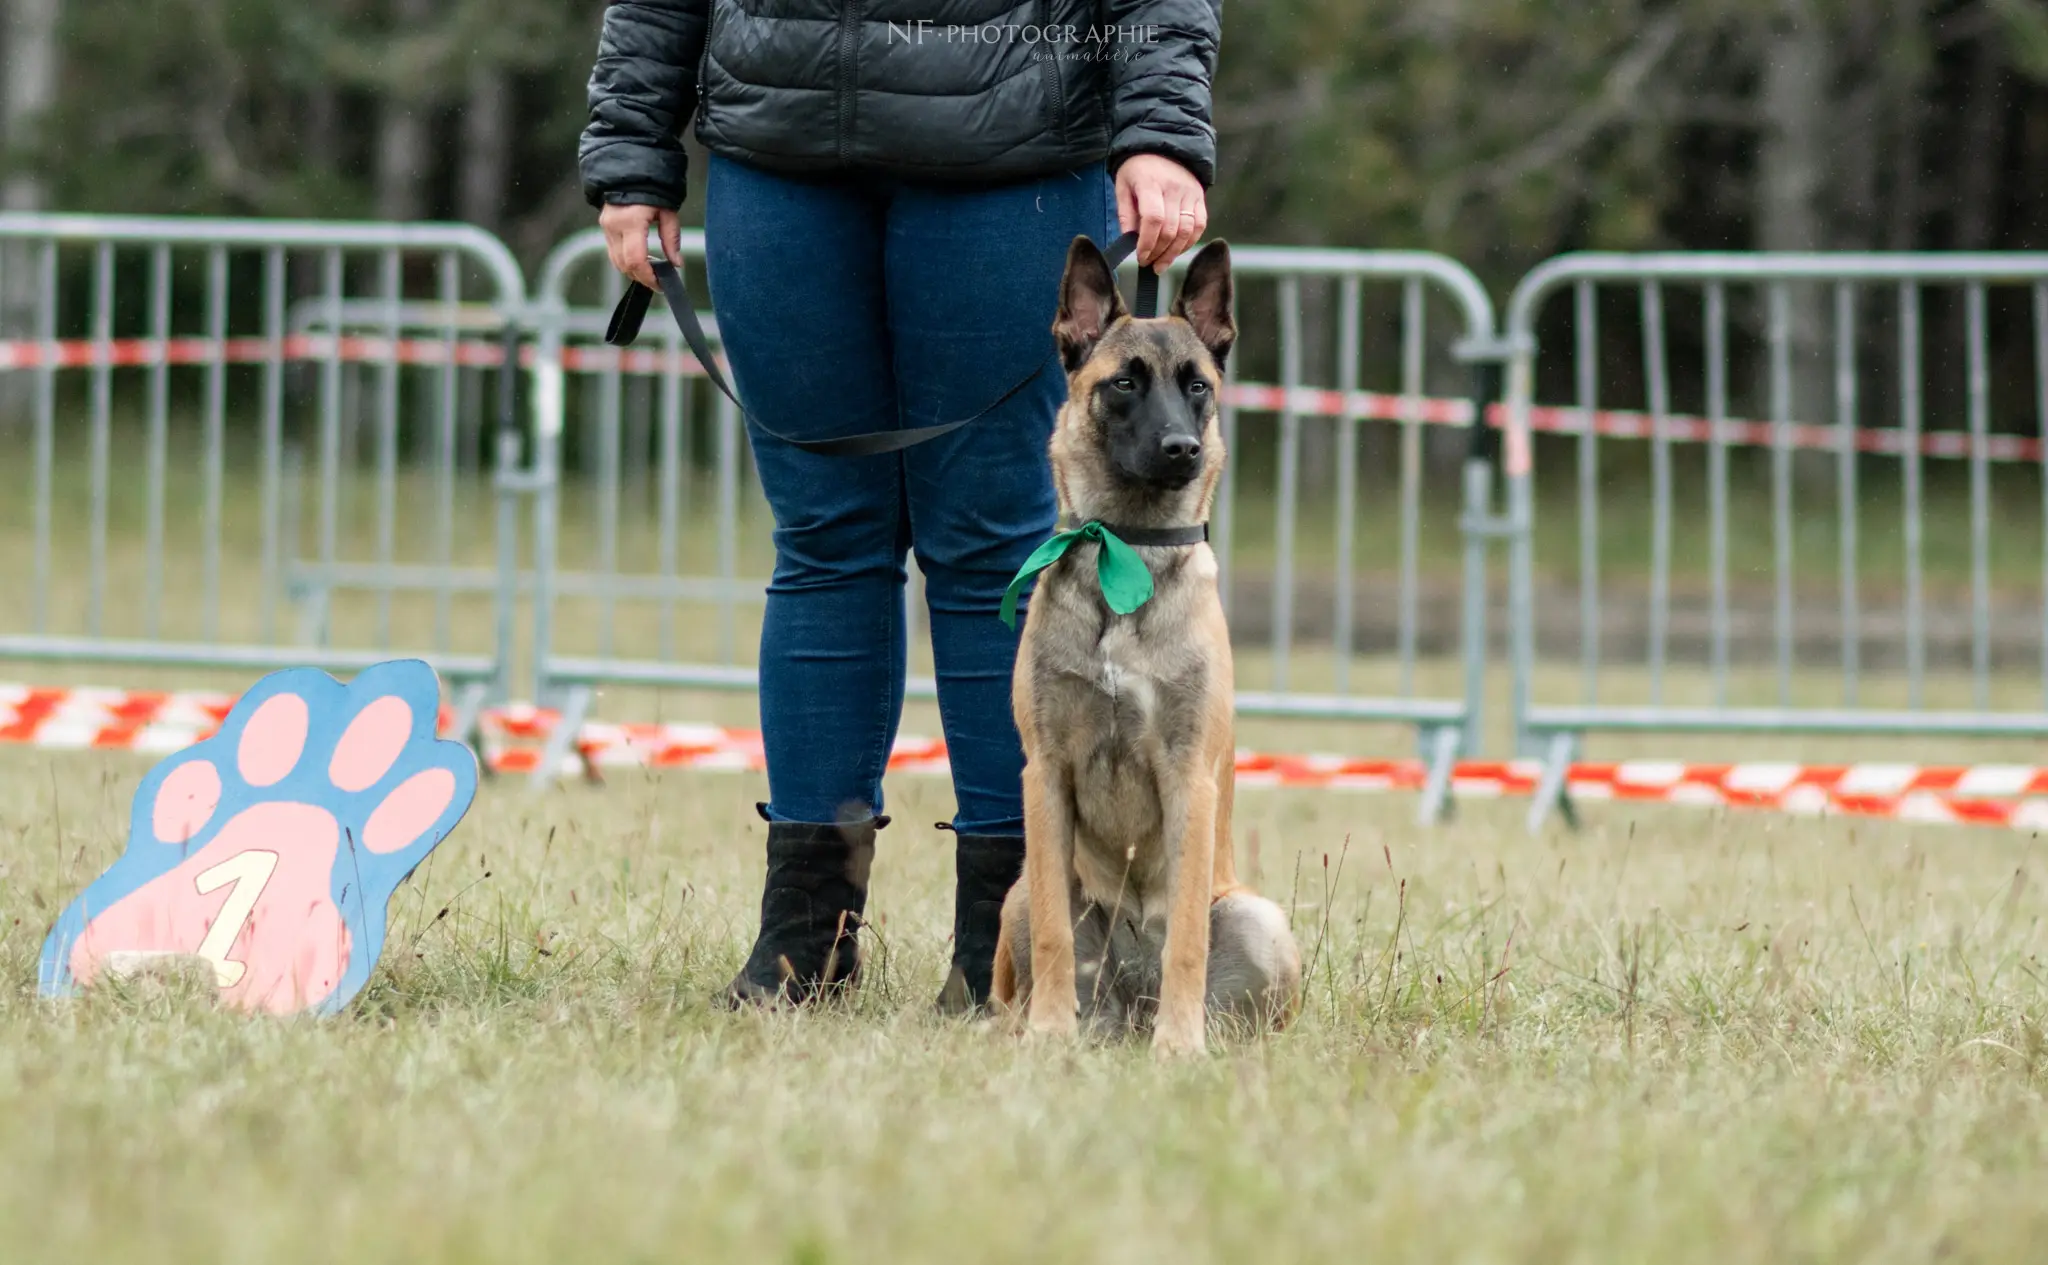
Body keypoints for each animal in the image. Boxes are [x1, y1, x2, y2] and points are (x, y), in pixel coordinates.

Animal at [987, 236, 1294, 1056]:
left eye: (1198, 387)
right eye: (1123, 383)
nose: (1182, 448)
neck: (1124, 545)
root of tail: (1128, 1006)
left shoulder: (1190, 778)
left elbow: (1184, 933)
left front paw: (1179, 1045)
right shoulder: (1046, 775)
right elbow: (1058, 936)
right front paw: (1049, 1033)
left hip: (1258, 918)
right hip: (1019, 892)